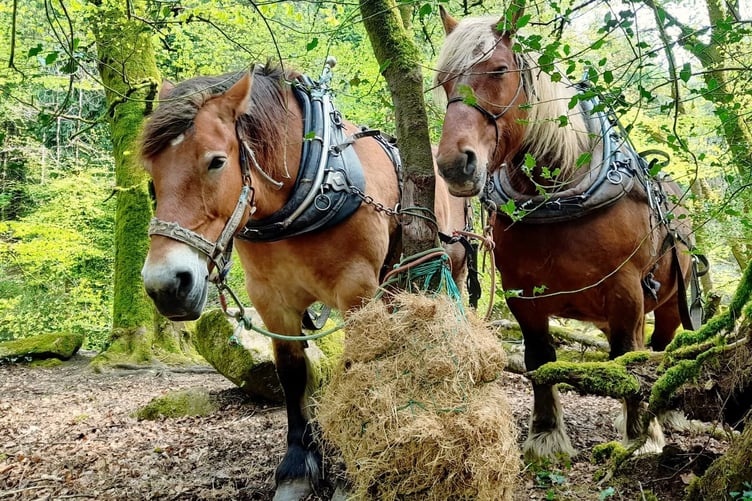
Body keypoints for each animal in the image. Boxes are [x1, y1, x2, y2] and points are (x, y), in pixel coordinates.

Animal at [139, 63, 469, 500]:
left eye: (216, 161)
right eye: (151, 174)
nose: (166, 286)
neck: (308, 184)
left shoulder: (356, 290)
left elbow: (353, 370)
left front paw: (353, 461)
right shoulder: (271, 299)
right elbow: (293, 375)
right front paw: (298, 467)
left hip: (450, 266)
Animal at [434, 7, 703, 459]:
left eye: (499, 69)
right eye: (444, 80)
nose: (456, 164)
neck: (560, 196)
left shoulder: (625, 290)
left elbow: (627, 358)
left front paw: (640, 436)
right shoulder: (522, 293)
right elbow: (540, 358)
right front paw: (545, 433)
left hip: (668, 299)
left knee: (659, 346)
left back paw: (662, 413)